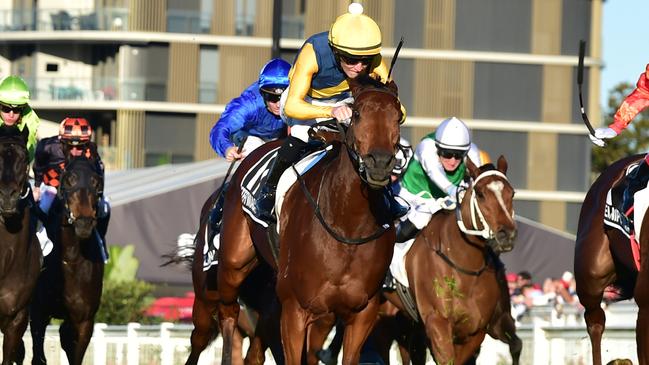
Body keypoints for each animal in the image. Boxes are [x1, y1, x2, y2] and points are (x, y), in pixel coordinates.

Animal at [29, 153, 106, 364]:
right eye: (69, 178)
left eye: (96, 181)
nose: (84, 223)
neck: (70, 260)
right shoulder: (38, 312)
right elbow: (38, 357)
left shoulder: (84, 320)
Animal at [216, 74, 400, 364]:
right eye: (357, 114)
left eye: (398, 117)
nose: (379, 163)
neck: (347, 225)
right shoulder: (295, 309)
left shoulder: (361, 314)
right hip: (233, 263)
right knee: (228, 313)